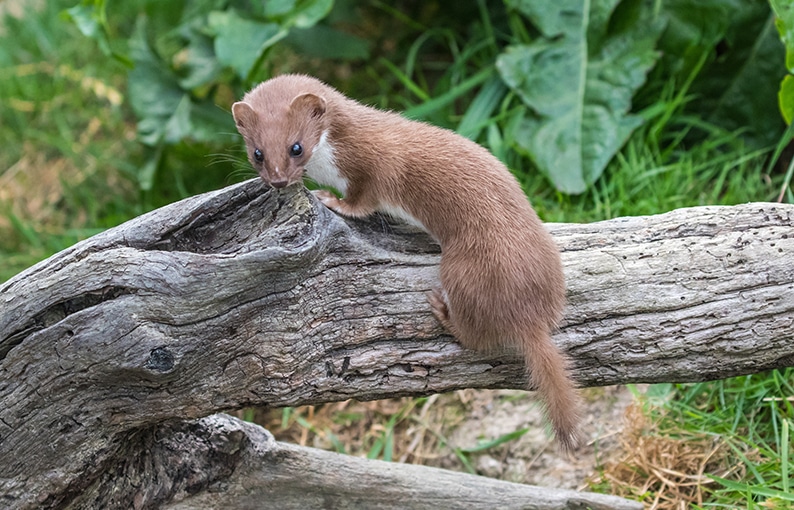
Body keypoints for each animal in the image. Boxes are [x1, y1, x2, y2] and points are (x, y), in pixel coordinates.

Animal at [232, 72, 580, 450]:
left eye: (296, 146)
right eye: (257, 153)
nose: (279, 180)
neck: (333, 159)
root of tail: (530, 316)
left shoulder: (374, 168)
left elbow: (364, 200)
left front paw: (333, 200)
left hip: (462, 269)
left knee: (476, 337)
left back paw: (442, 310)